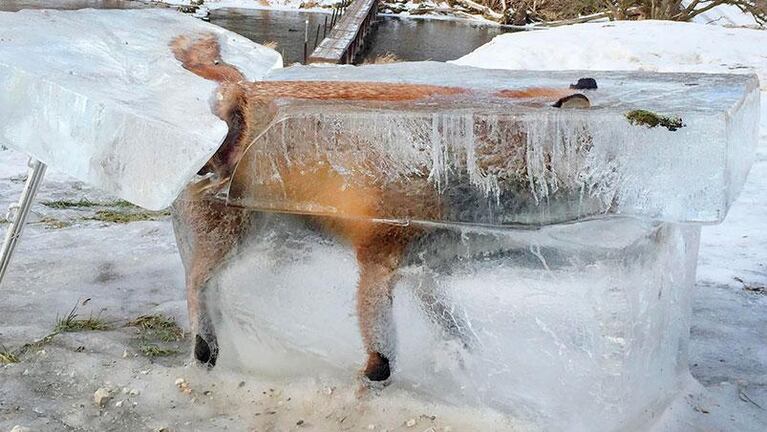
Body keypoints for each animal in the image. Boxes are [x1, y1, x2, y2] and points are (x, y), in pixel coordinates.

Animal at [170, 35, 588, 384]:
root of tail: (240, 89)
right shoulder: (378, 256)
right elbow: (383, 352)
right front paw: (372, 380)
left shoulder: (427, 268)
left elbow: (453, 325)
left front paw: (458, 358)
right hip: (233, 235)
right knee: (196, 281)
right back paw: (205, 346)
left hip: (278, 242)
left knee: (223, 284)